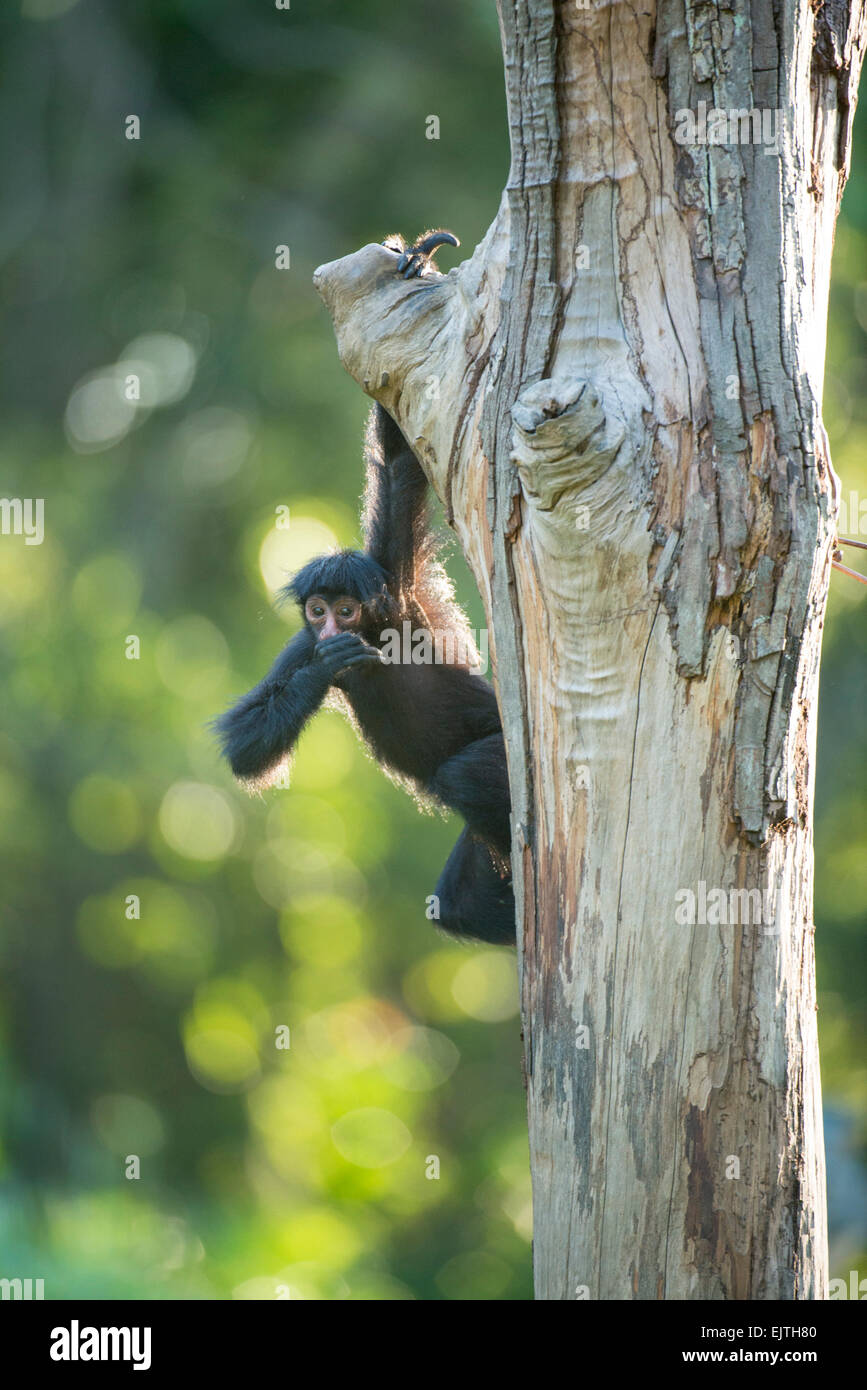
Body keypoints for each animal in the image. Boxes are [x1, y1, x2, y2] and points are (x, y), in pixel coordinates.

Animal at [216, 230, 514, 945]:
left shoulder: (396, 583)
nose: (330, 628)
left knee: (464, 774)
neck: (381, 634)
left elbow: (402, 465)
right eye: (318, 611)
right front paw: (329, 667)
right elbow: (244, 749)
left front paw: (416, 262)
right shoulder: (300, 645)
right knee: (458, 902)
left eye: (346, 609)